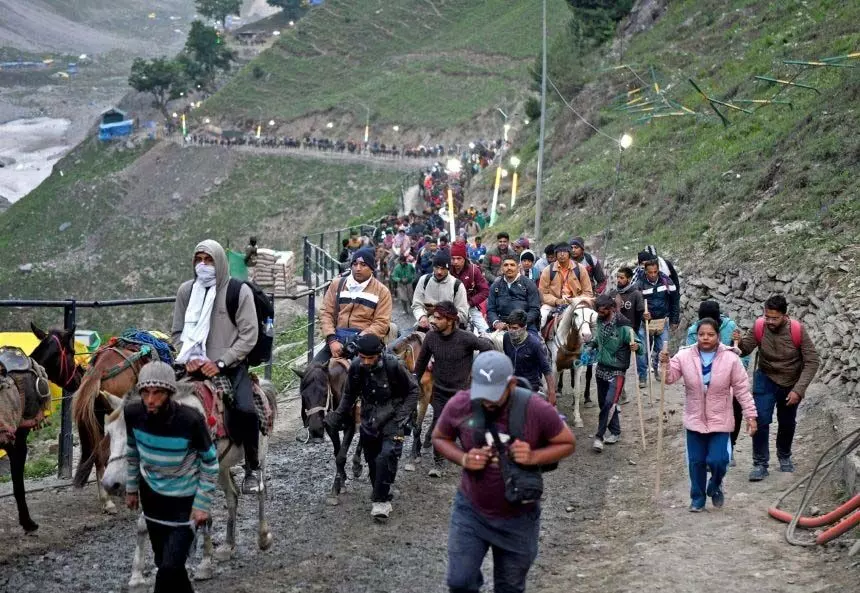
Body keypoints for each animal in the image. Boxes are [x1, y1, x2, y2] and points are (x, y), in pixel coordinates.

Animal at [99, 380, 278, 588]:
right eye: (110, 432)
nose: (110, 483)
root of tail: (261, 385)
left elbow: (202, 515)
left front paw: (204, 565)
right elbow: (145, 522)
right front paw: (136, 576)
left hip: (259, 454)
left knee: (260, 491)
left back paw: (263, 537)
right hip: (221, 467)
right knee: (232, 496)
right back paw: (227, 546)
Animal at [544, 298, 596, 428]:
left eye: (591, 313)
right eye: (575, 314)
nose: (586, 335)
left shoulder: (578, 366)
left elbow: (576, 391)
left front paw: (577, 418)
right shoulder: (554, 367)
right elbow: (552, 389)